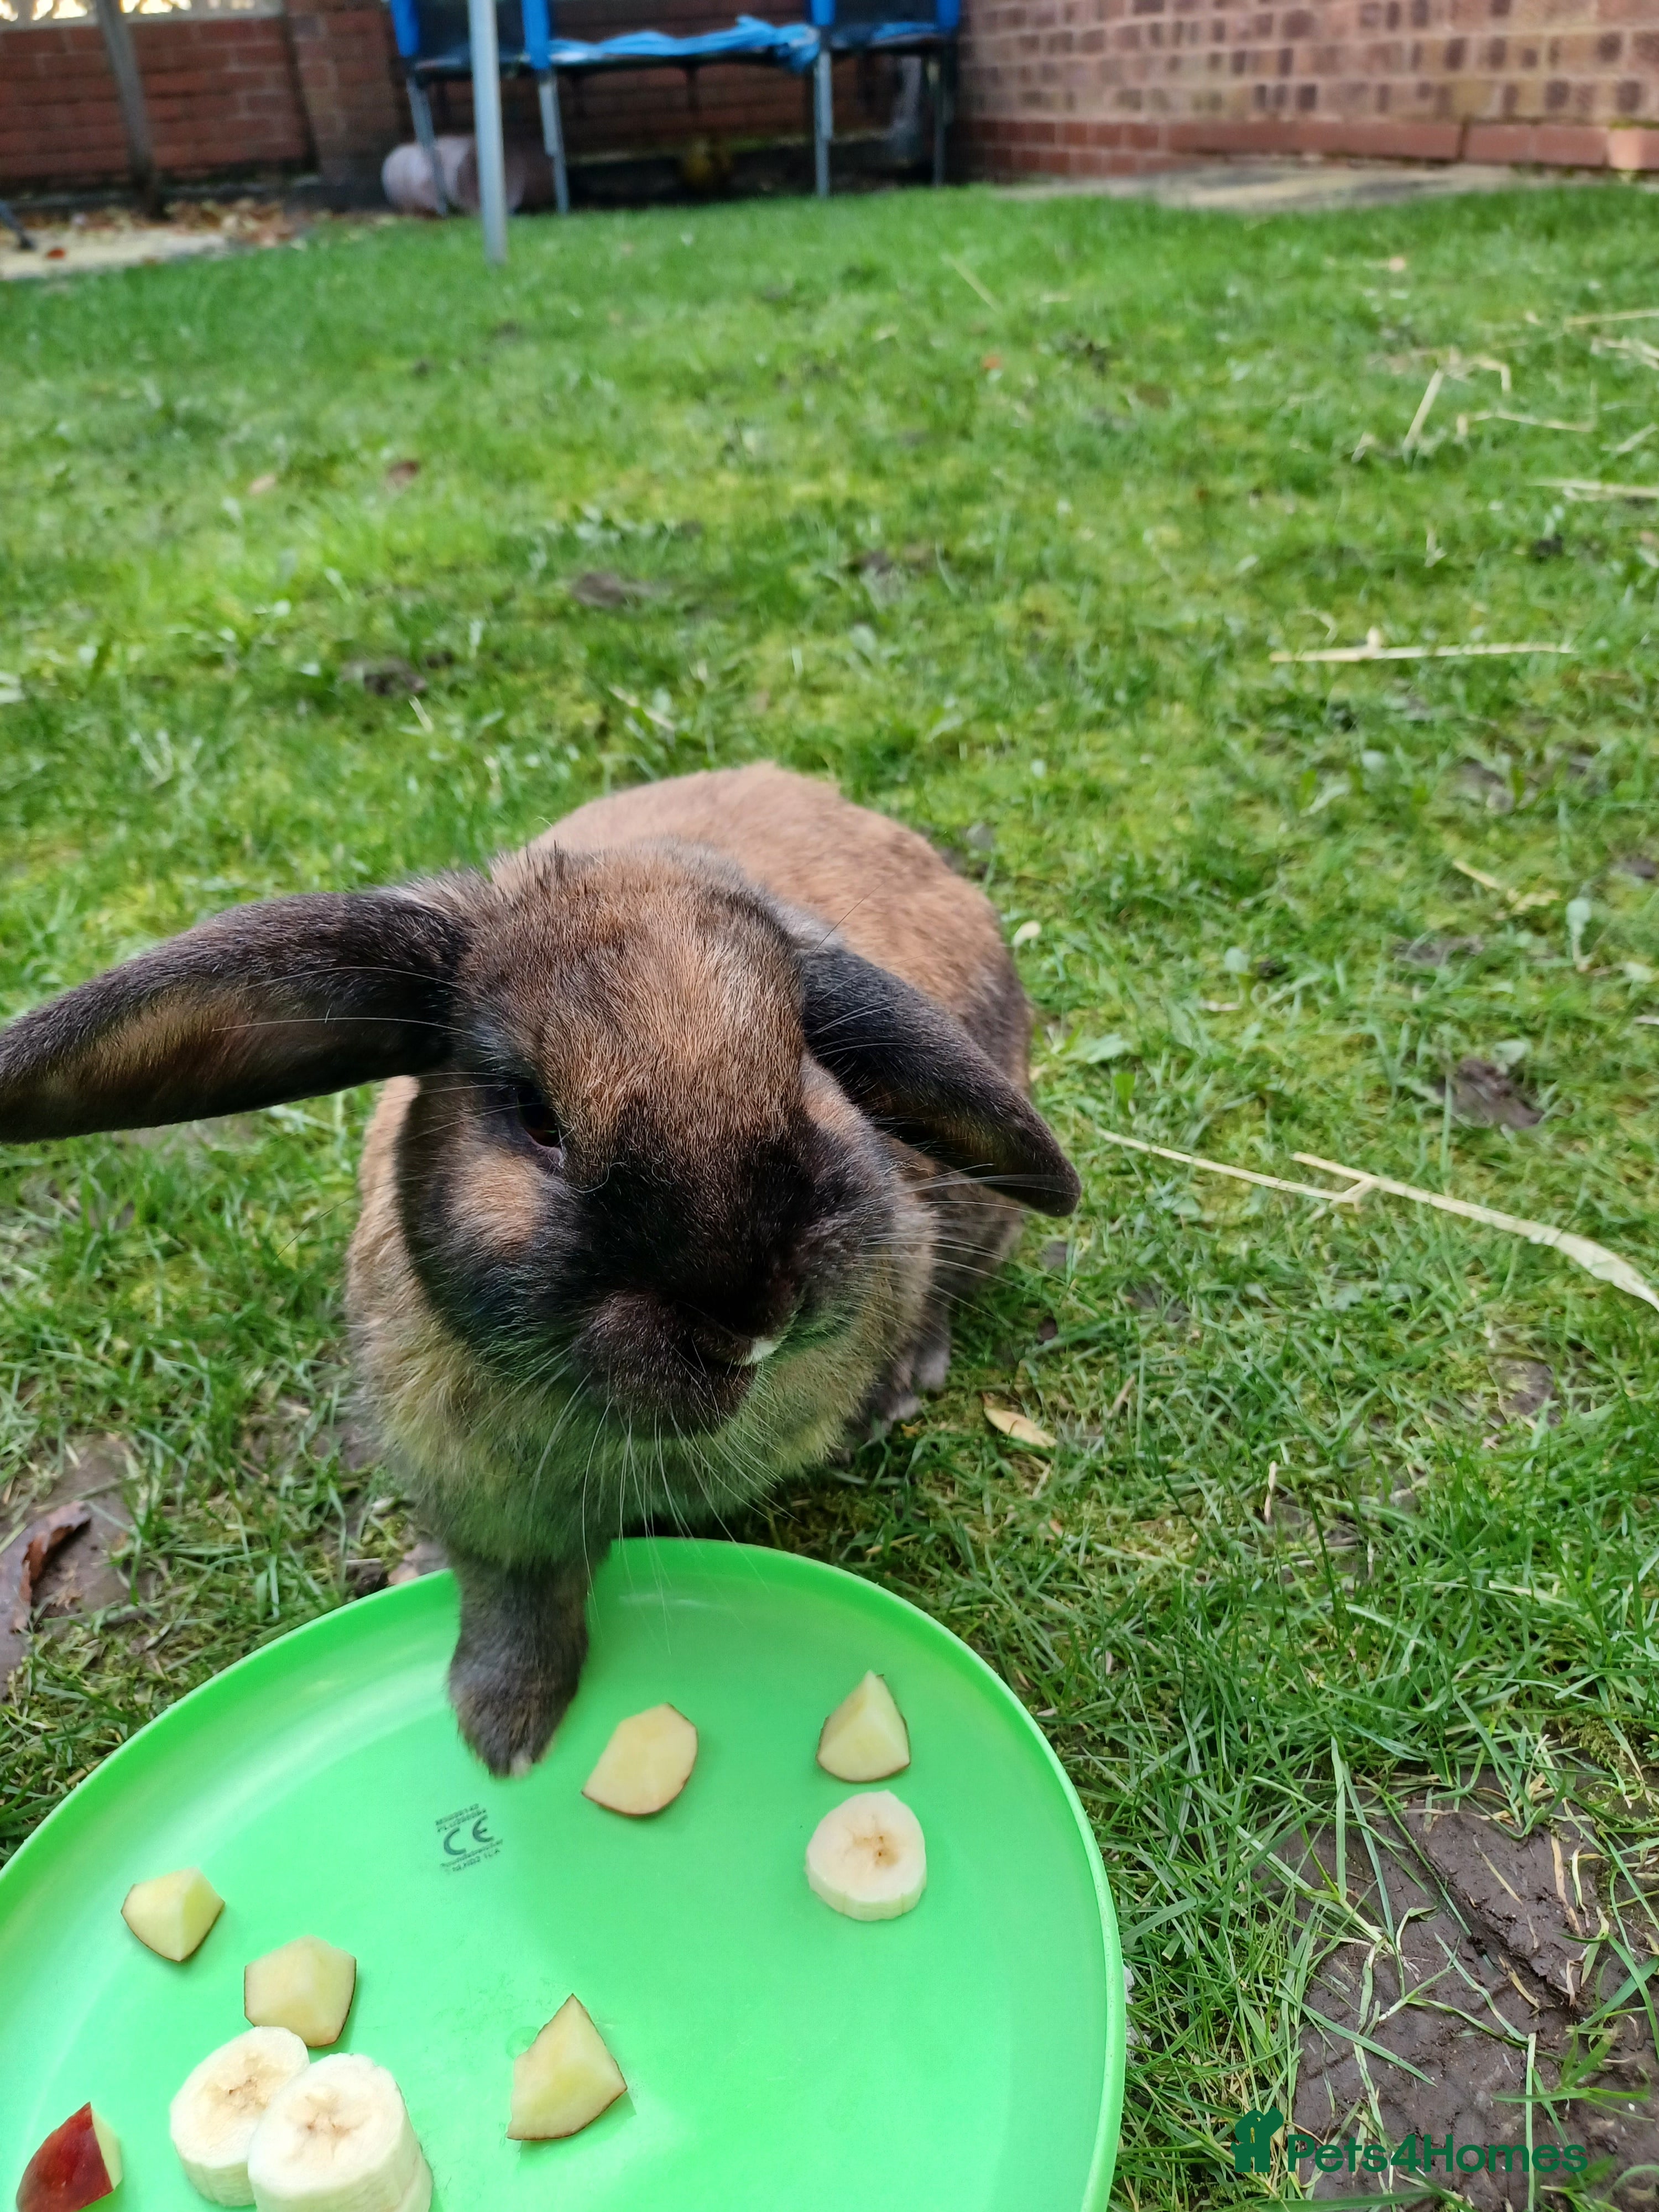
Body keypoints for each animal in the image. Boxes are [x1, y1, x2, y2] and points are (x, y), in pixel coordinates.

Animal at [0, 763, 1078, 1775]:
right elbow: (514, 1600)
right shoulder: (482, 1506)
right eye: (538, 1119)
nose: (755, 1315)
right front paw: (504, 1732)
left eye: (806, 1066)